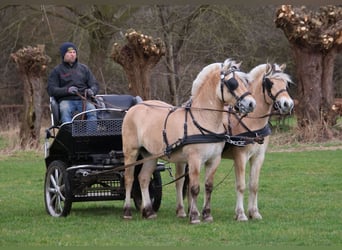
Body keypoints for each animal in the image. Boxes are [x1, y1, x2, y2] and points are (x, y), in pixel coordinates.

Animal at [121, 58, 255, 225]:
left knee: (144, 178)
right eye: (232, 83)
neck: (203, 119)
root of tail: (135, 107)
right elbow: (194, 188)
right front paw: (195, 216)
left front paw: (207, 215)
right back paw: (127, 211)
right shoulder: (195, 159)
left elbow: (208, 187)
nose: (251, 104)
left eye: (246, 82)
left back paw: (148, 212)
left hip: (150, 155)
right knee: (129, 179)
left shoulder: (214, 160)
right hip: (131, 153)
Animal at [175, 62, 296, 221]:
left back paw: (191, 210)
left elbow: (254, 185)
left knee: (189, 183)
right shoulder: (240, 157)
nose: (287, 104)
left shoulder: (258, 157)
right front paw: (241, 214)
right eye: (270, 83)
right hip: (183, 160)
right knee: (180, 182)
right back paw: (182, 211)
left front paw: (254, 212)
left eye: (286, 83)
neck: (252, 122)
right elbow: (241, 185)